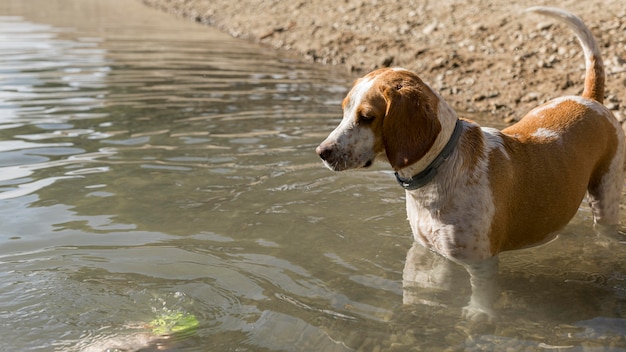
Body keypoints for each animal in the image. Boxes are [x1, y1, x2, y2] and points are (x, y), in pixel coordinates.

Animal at [316, 6, 624, 320]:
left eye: (366, 117)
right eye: (344, 110)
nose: (321, 151)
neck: (438, 169)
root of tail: (589, 99)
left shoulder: (481, 262)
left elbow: (481, 297)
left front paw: (477, 317)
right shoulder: (426, 250)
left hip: (606, 196)